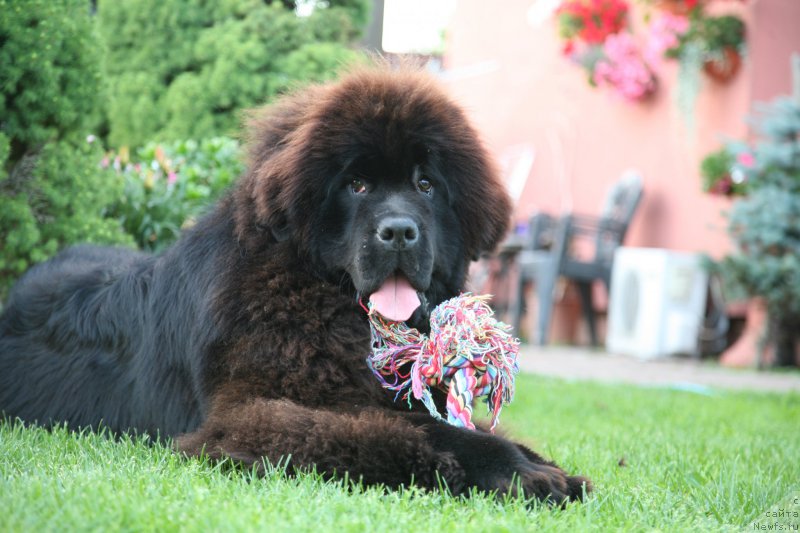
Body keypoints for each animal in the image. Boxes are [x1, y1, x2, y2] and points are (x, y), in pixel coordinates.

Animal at [0, 66, 588, 502]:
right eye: (357, 185)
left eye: (426, 185)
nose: (399, 231)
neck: (313, 294)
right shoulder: (253, 415)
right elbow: (418, 430)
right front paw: (515, 472)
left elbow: (452, 422)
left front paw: (545, 466)